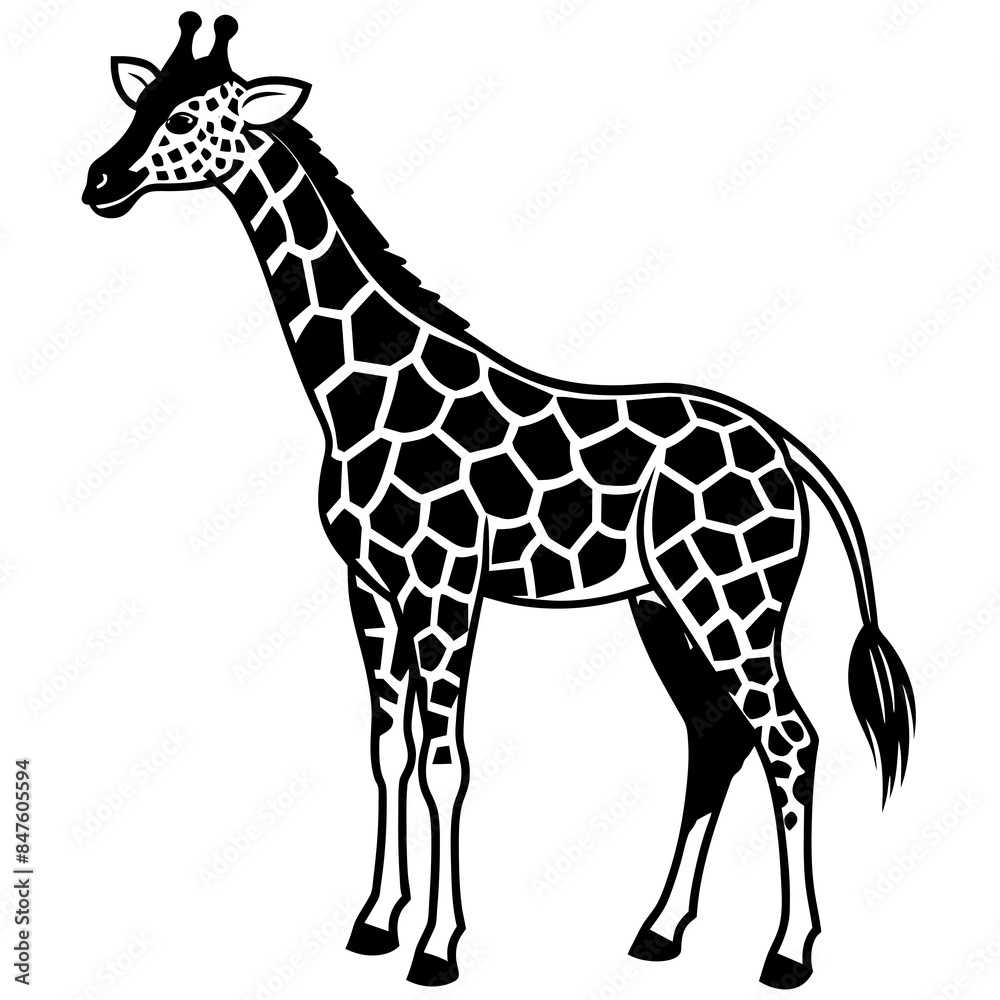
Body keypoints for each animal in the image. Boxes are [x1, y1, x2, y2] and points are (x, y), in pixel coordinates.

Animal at [82, 14, 916, 990]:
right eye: (141, 100)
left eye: (192, 115)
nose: (99, 182)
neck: (355, 395)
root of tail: (786, 448)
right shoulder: (371, 587)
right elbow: (389, 751)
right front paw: (376, 922)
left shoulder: (446, 585)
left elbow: (447, 762)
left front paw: (437, 948)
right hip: (663, 605)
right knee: (717, 738)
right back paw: (659, 930)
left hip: (733, 600)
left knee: (788, 737)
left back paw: (787, 952)